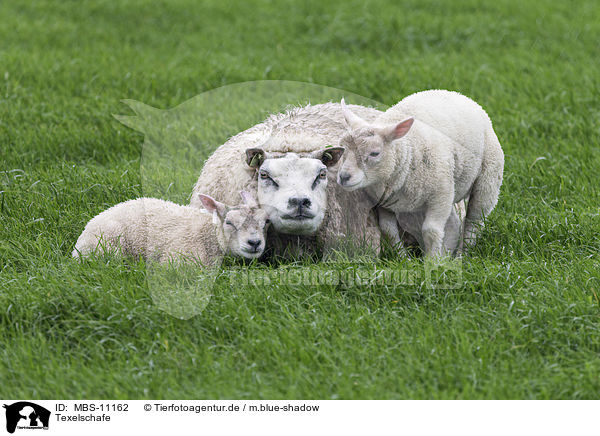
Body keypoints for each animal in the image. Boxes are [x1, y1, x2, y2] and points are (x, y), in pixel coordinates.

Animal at [338, 90, 502, 258]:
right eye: (343, 148)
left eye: (374, 153)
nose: (344, 177)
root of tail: (459, 94)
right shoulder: (384, 202)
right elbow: (388, 229)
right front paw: (404, 258)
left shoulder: (440, 194)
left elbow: (431, 231)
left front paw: (432, 260)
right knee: (454, 223)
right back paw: (447, 255)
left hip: (488, 181)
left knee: (473, 221)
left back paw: (461, 255)